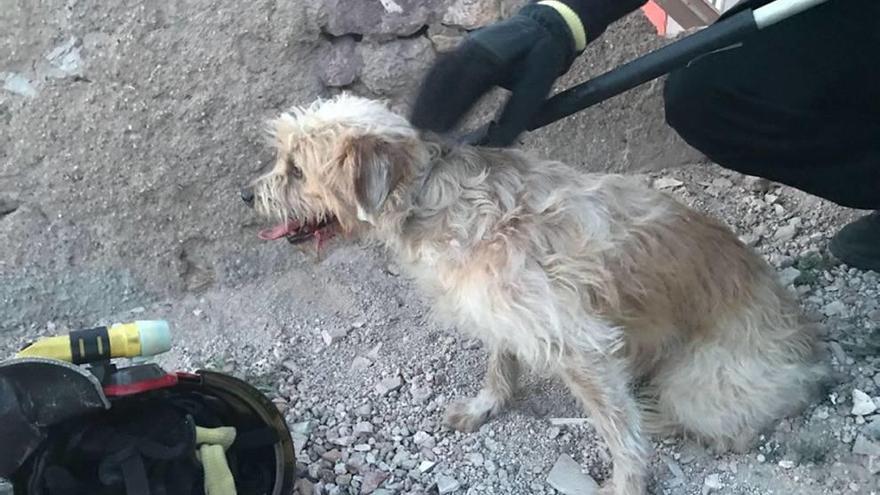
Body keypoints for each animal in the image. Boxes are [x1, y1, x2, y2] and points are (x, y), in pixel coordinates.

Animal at [244, 95, 828, 494]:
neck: (431, 198)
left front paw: (627, 483)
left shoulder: (582, 346)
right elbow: (500, 365)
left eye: (296, 171)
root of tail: (814, 354)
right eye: (281, 160)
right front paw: (486, 407)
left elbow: (621, 434)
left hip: (701, 387)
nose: (246, 195)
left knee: (725, 430)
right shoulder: (502, 313)